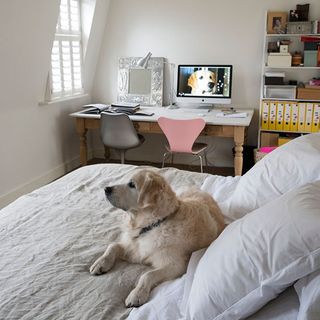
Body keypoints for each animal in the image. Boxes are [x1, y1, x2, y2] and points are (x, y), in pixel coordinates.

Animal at [90, 170, 225, 308]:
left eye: (132, 185)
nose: (106, 189)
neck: (153, 224)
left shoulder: (176, 265)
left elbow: (147, 275)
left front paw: (137, 294)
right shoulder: (134, 249)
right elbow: (113, 246)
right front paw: (100, 263)